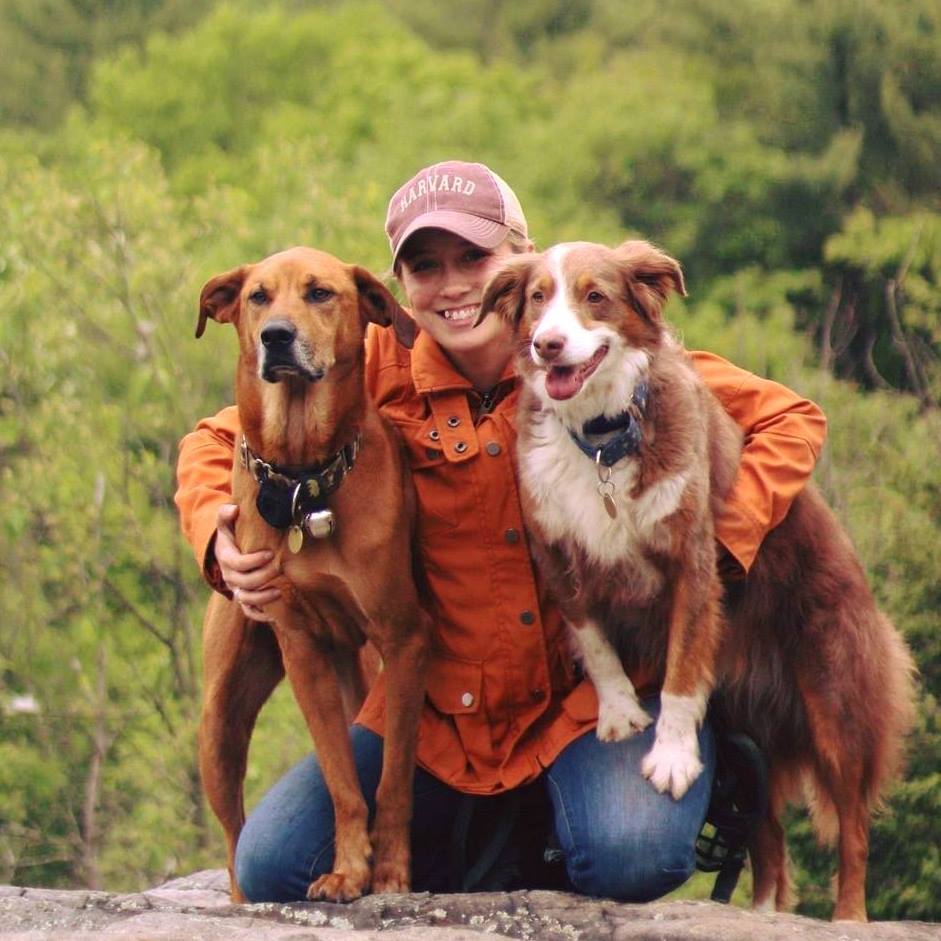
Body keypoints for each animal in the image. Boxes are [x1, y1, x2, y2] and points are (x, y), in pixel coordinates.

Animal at [198, 248, 434, 904]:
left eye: (320, 293)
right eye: (257, 296)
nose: (276, 336)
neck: (305, 477)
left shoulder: (404, 641)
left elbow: (393, 782)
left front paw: (390, 873)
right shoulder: (302, 648)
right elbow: (341, 780)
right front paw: (348, 870)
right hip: (219, 723)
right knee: (234, 843)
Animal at [478, 239, 912, 920]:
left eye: (594, 296)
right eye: (538, 299)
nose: (547, 345)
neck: (601, 438)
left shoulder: (693, 566)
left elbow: (681, 673)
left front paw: (672, 757)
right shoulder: (558, 558)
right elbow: (596, 644)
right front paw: (621, 713)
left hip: (836, 699)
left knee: (853, 827)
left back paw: (848, 917)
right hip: (748, 733)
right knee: (768, 834)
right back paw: (762, 913)